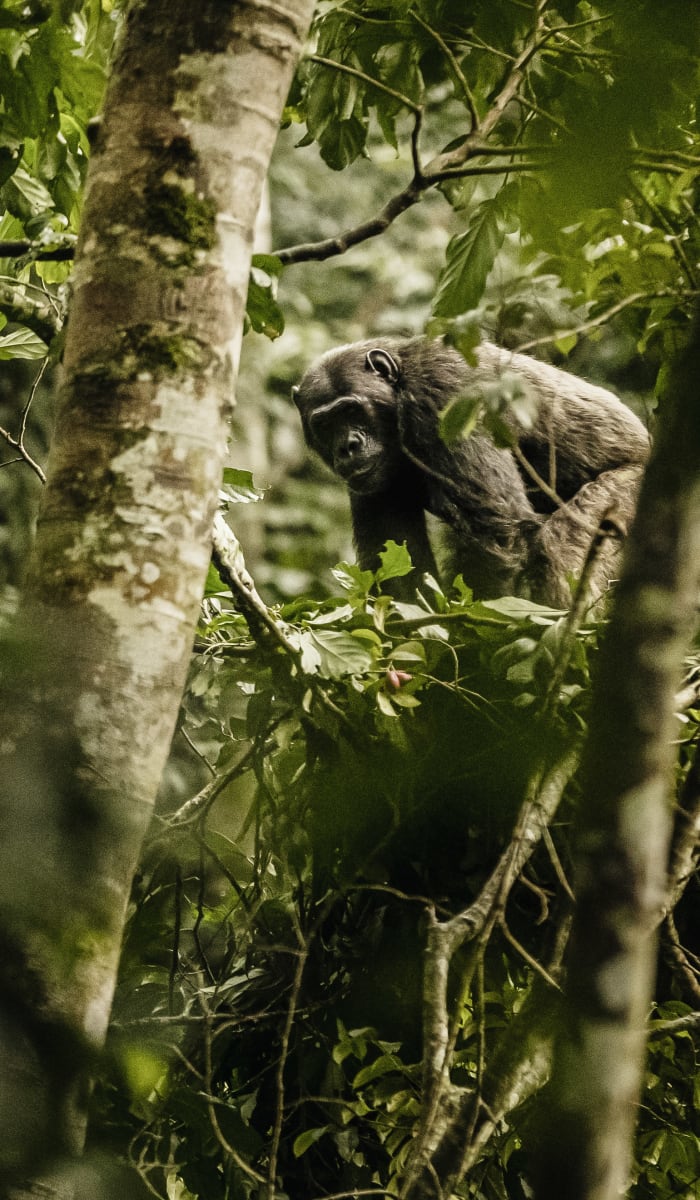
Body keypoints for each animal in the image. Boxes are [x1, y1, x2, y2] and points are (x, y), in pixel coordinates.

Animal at [292, 337, 651, 606]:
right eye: (325, 424)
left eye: (351, 410)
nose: (348, 445)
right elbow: (399, 565)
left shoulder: (443, 394)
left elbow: (496, 531)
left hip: (630, 491)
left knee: (564, 546)